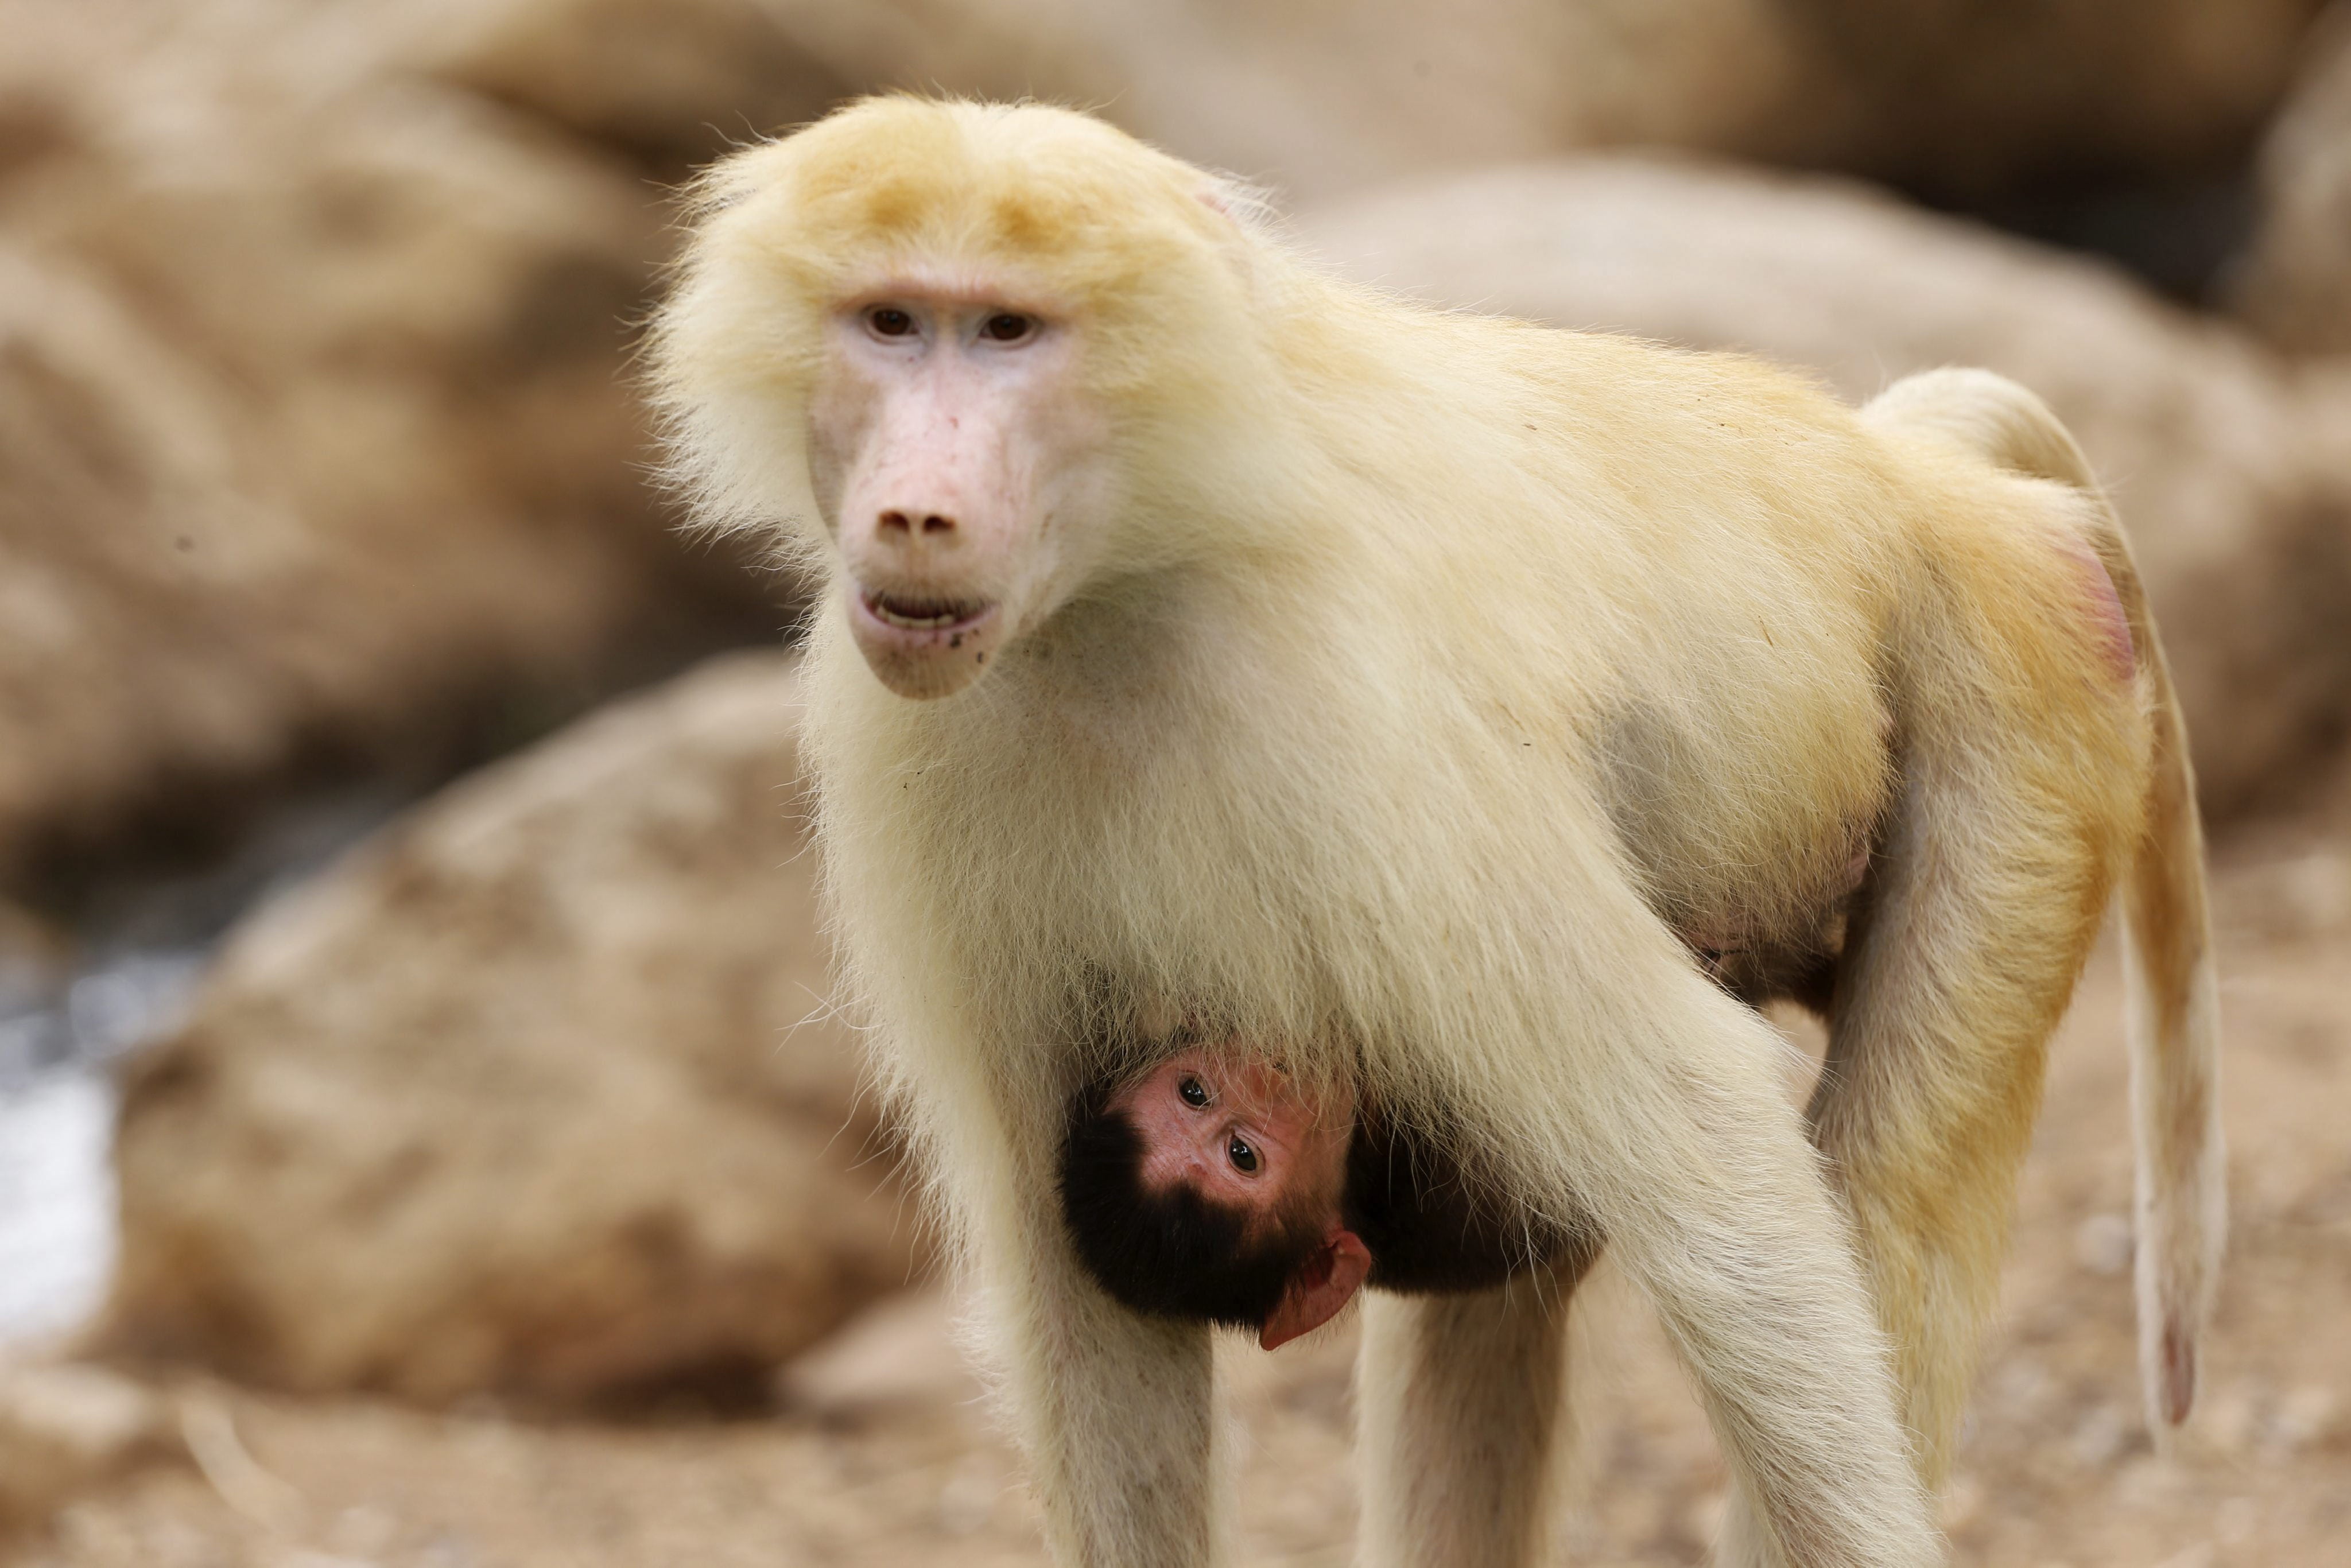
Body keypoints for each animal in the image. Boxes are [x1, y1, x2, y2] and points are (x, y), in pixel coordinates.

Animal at [647, 97, 2223, 1568]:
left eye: (1003, 332)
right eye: (889, 323)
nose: (913, 514)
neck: (1124, 588)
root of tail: (1910, 484)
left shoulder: (1376, 726)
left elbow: (1705, 1135)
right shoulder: (914, 752)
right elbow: (1076, 1281)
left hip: (2018, 699)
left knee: (1876, 1182)